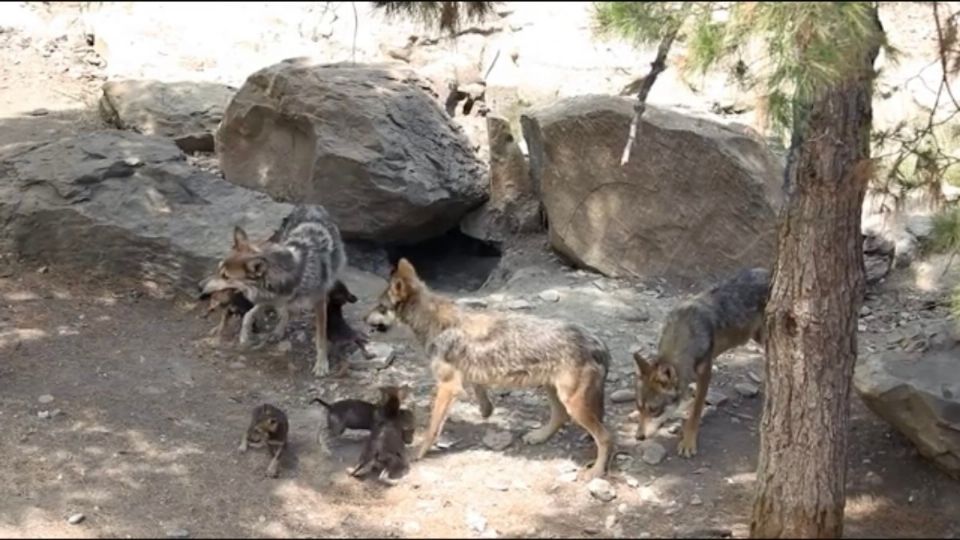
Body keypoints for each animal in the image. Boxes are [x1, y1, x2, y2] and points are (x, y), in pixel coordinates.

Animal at [198, 205, 344, 378]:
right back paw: (278, 331)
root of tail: (310, 205)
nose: (199, 286)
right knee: (283, 312)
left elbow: (321, 338)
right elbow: (248, 315)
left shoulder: (319, 302)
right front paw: (244, 335)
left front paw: (322, 364)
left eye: (225, 276)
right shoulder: (272, 297)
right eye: (218, 269)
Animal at [360, 258, 616, 480]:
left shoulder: (447, 386)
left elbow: (432, 428)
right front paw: (486, 410)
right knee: (561, 416)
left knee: (605, 436)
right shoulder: (464, 376)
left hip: (573, 403)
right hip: (553, 390)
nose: (362, 318)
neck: (434, 322)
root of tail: (598, 343)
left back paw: (596, 471)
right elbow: (479, 388)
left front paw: (418, 453)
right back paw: (538, 436)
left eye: (380, 307)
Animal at [636, 266, 772, 456]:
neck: (685, 335)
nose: (638, 437)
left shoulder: (705, 373)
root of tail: (770, 272)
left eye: (653, 409)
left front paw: (688, 442)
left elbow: (696, 411)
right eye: (639, 407)